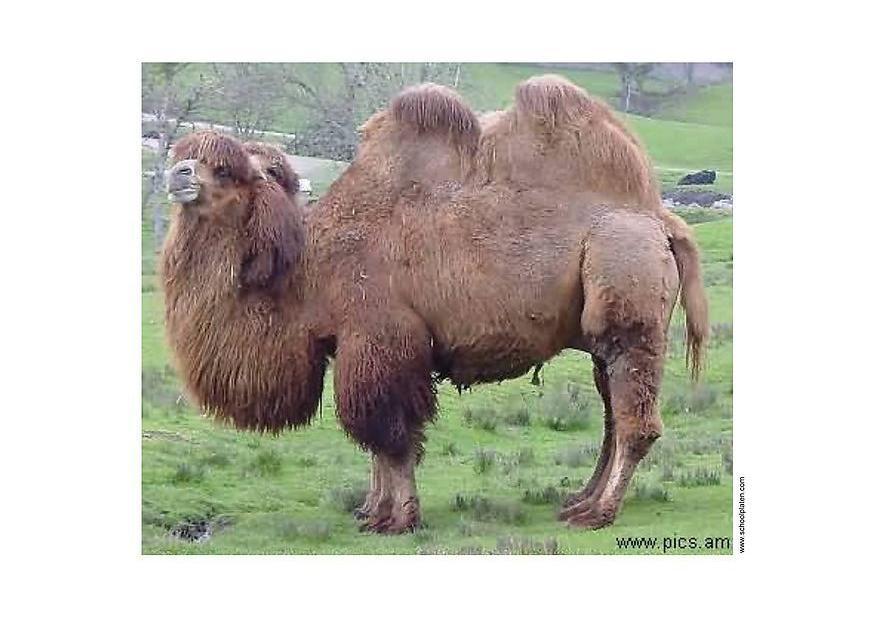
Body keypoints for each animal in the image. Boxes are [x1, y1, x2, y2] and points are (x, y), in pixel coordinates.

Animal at [160, 78, 707, 534]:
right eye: (186, 154)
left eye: (224, 170)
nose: (176, 174)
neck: (307, 268)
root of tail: (662, 221)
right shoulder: (359, 347)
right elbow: (377, 440)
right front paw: (372, 511)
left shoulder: (382, 338)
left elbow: (391, 436)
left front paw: (397, 519)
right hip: (599, 338)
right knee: (613, 418)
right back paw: (579, 500)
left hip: (629, 305)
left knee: (635, 423)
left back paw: (598, 513)